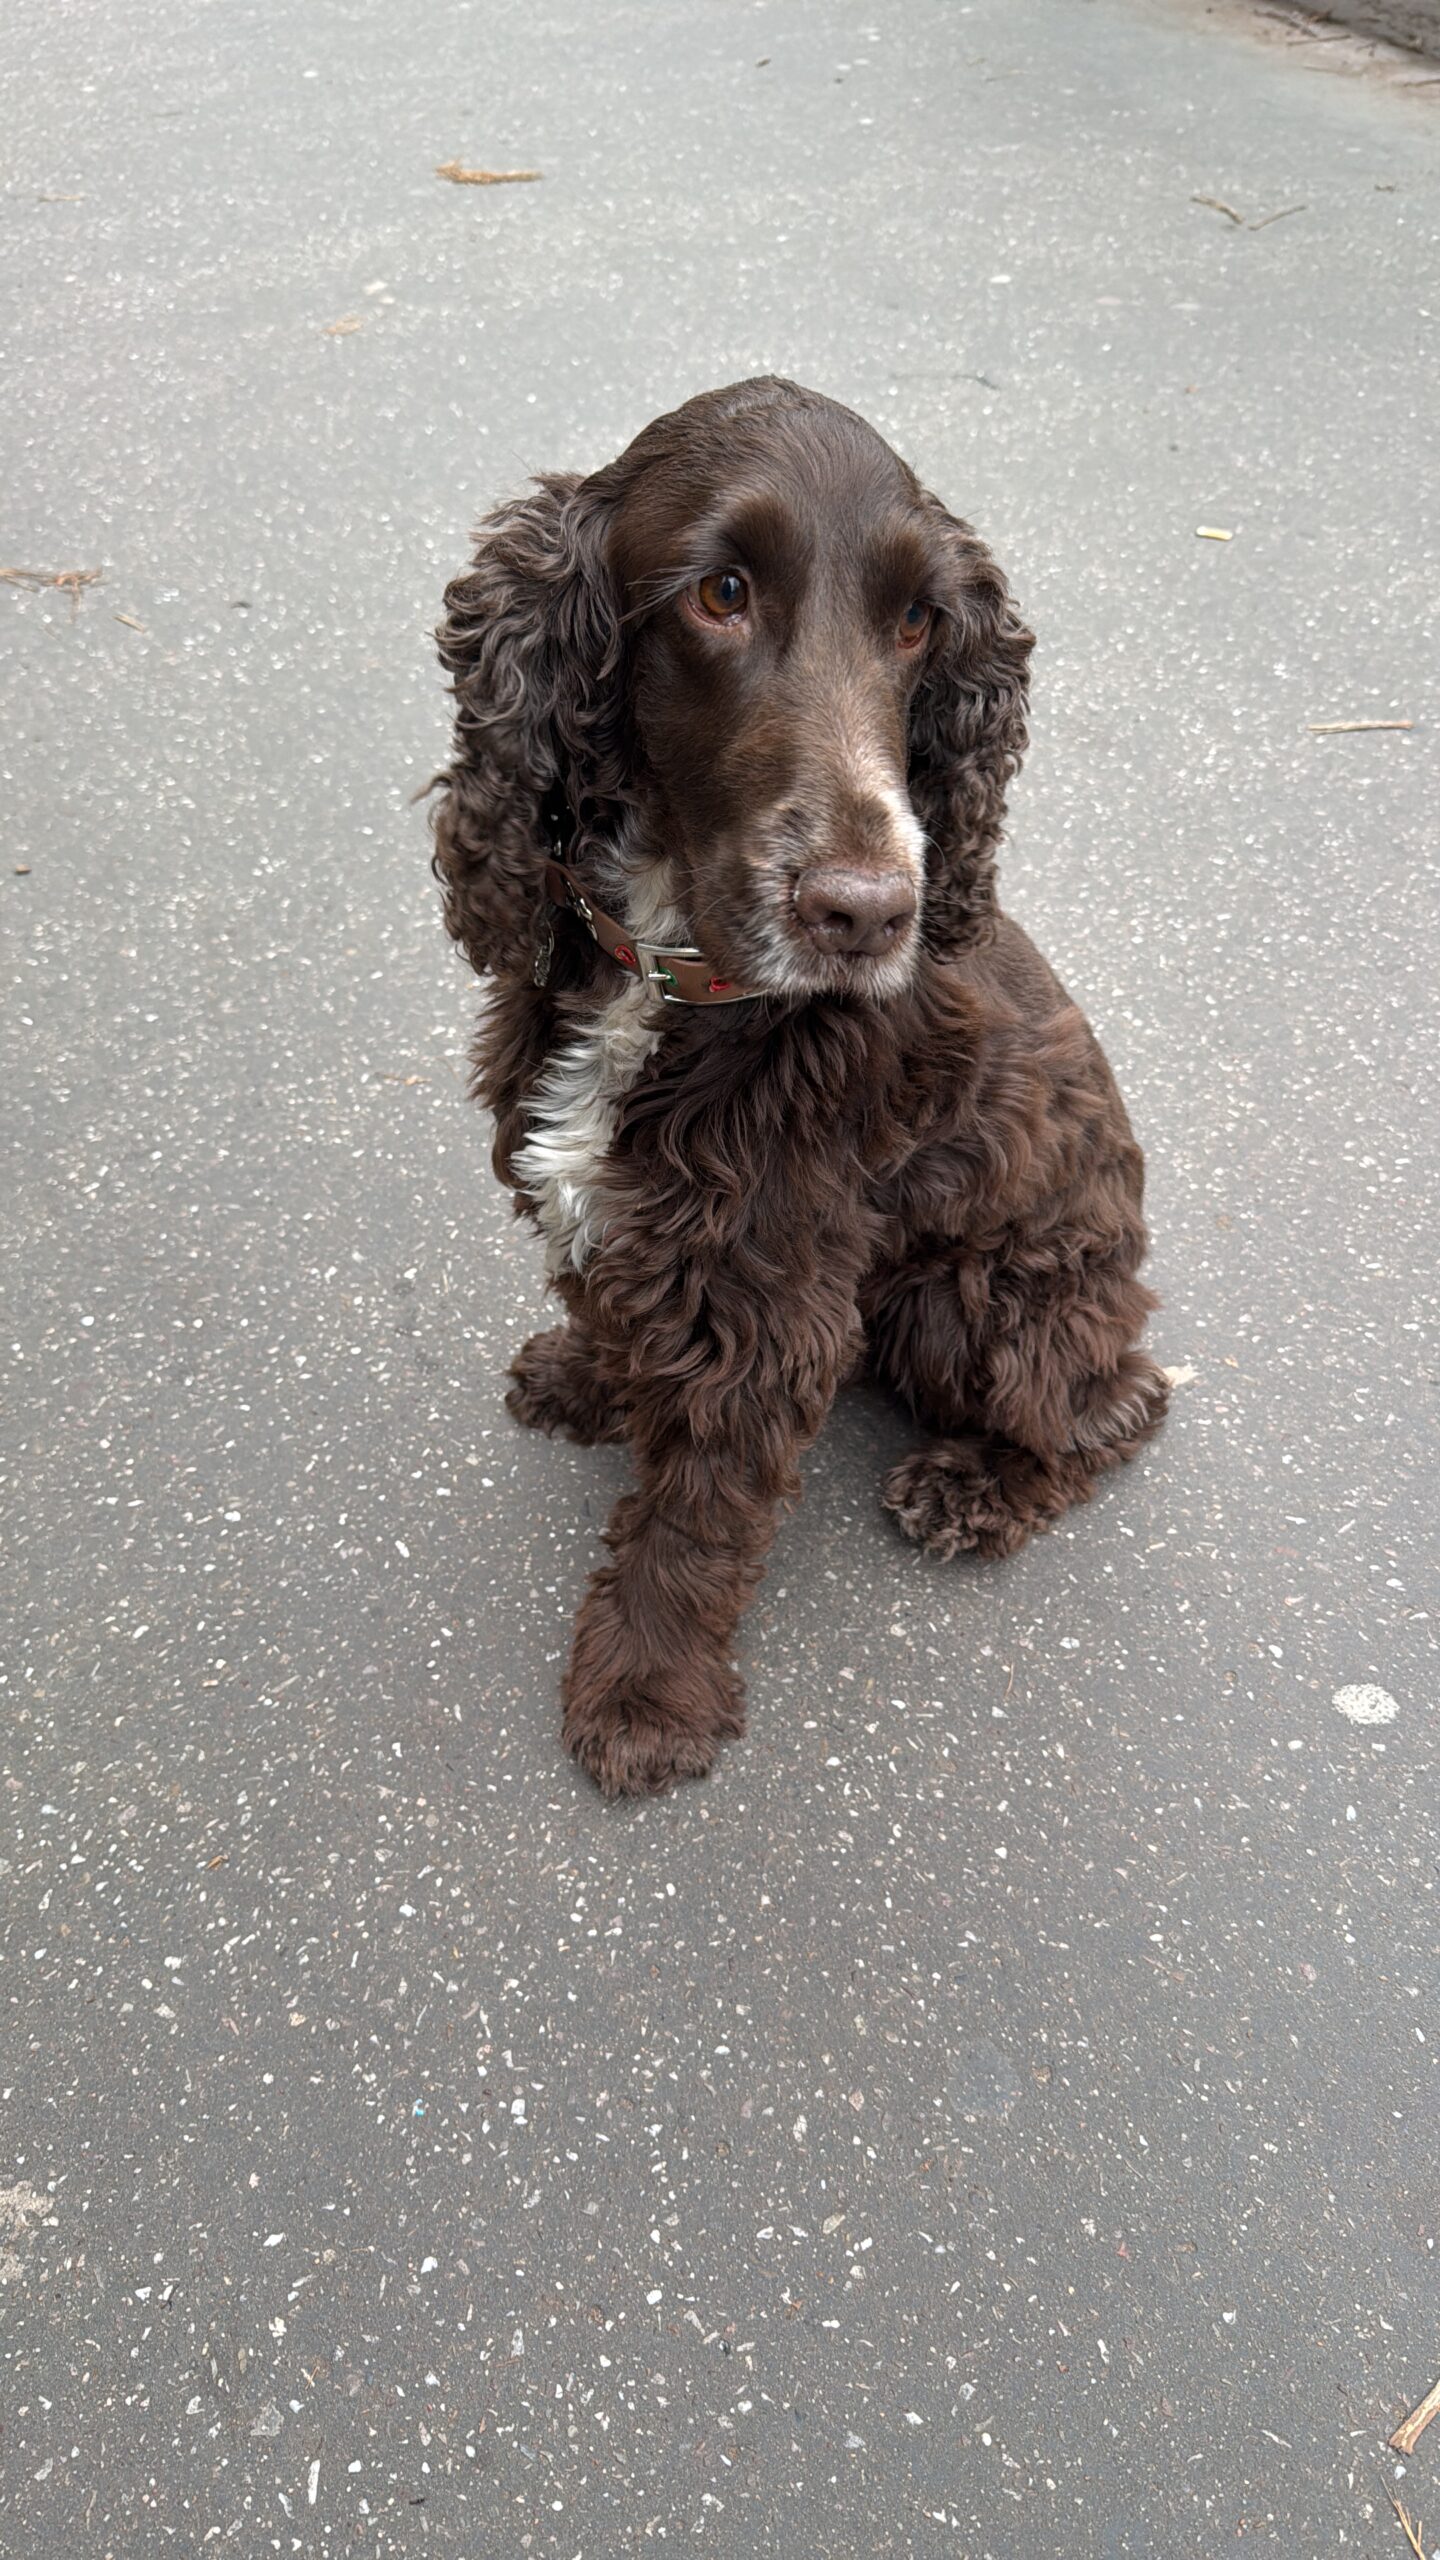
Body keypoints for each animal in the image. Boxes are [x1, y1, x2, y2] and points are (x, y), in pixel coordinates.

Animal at [430, 377, 1167, 1795]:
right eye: (722, 592)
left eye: (919, 619)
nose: (867, 913)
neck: (668, 971)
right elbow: (609, 1308)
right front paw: (591, 1380)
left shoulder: (762, 1304)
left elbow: (694, 1520)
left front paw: (645, 1697)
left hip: (979, 1294)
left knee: (1116, 1405)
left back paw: (978, 1487)